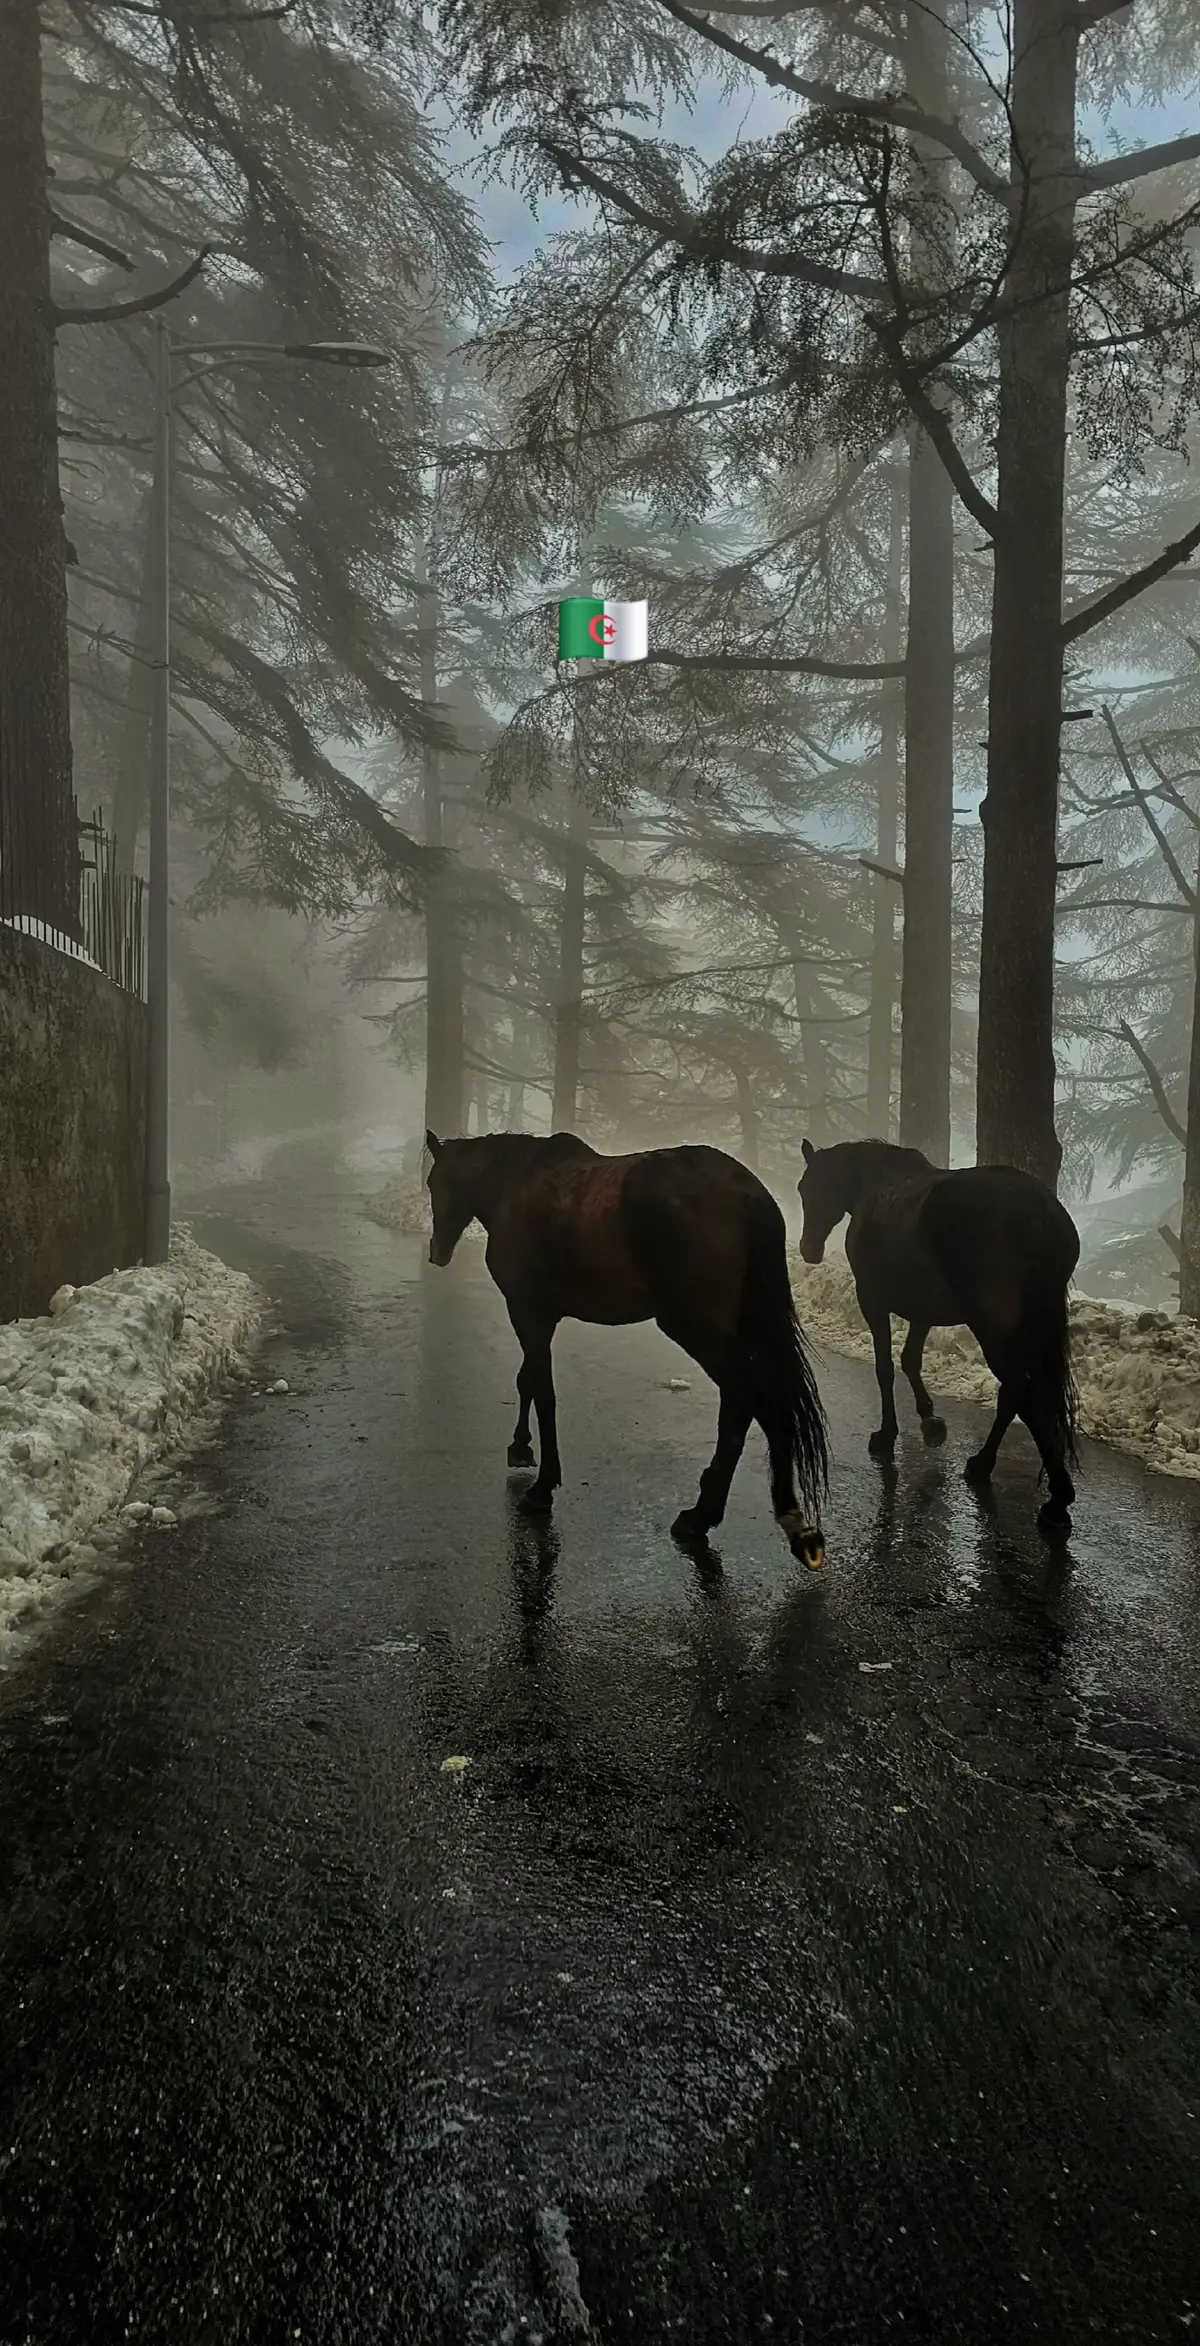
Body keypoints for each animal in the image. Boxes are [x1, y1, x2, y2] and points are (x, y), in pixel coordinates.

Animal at [426, 1130, 829, 1567]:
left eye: (433, 1183)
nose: (436, 1251)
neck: (514, 1185)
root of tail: (748, 1194)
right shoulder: (540, 1316)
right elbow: (527, 1381)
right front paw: (521, 1447)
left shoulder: (526, 1310)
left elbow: (542, 1389)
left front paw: (543, 1484)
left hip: (696, 1330)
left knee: (746, 1401)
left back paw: (709, 1514)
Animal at [796, 1140, 1078, 1538]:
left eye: (813, 1188)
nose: (809, 1248)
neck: (876, 1186)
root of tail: (1040, 1214)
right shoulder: (923, 1312)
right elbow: (910, 1360)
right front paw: (930, 1422)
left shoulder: (873, 1301)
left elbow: (885, 1367)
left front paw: (887, 1434)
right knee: (1016, 1393)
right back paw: (987, 1465)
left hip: (992, 1327)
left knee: (1019, 1392)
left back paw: (1052, 1496)